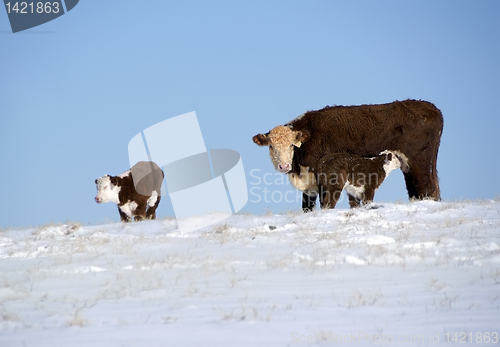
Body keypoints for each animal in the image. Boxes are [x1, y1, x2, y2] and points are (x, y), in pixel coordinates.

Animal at [252, 99, 444, 211]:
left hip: (420, 163)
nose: (283, 166)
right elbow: (307, 207)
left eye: (292, 145)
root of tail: (431, 108)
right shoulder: (309, 186)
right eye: (271, 146)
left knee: (426, 190)